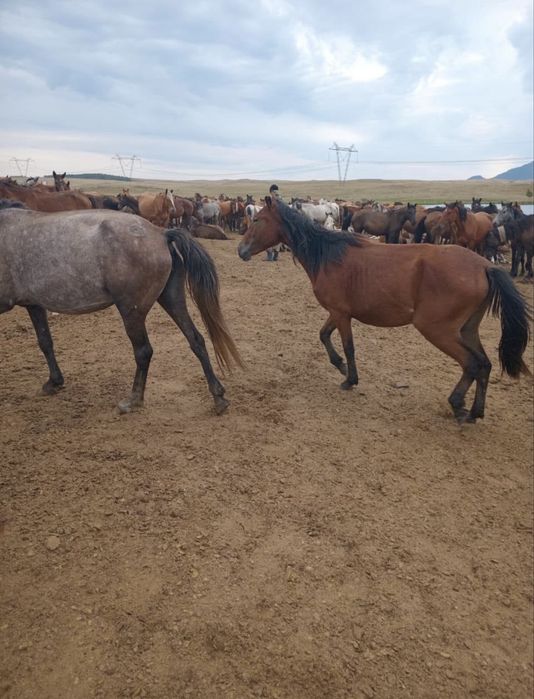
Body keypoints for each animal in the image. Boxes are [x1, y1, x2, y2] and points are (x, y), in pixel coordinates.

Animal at [0, 201, 241, 414]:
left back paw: (133, 399)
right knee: (196, 339)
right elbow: (45, 342)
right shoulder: (34, 304)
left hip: (131, 311)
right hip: (171, 299)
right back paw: (218, 396)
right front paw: (54, 382)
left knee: (144, 351)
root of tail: (162, 234)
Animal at [237, 194, 531, 423]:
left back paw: (457, 404)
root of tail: (484, 266)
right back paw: (475, 412)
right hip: (467, 329)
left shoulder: (341, 314)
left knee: (471, 363)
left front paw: (349, 378)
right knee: (484, 364)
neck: (329, 255)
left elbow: (348, 346)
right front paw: (340, 366)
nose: (241, 250)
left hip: (439, 330)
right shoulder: (338, 312)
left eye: (257, 220)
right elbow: (324, 336)